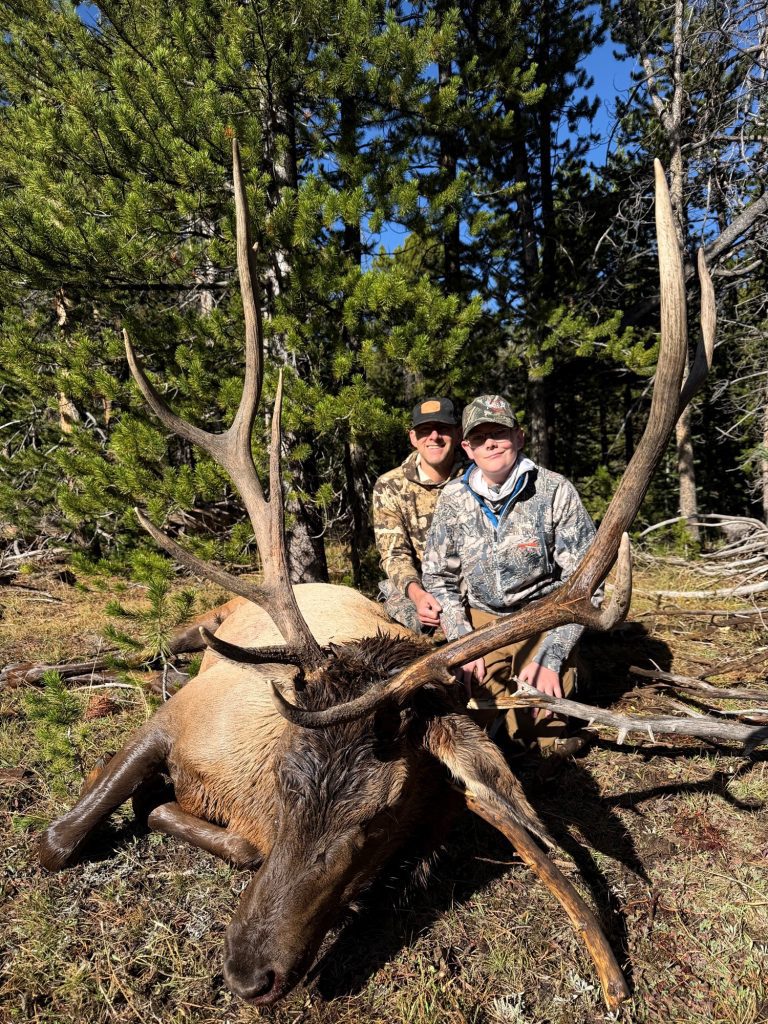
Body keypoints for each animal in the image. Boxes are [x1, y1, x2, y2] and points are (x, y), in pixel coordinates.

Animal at [39, 142, 759, 1014]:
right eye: (286, 781)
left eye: (377, 822)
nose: (248, 971)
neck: (237, 783)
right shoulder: (174, 719)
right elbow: (56, 840)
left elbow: (234, 847)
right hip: (199, 630)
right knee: (148, 650)